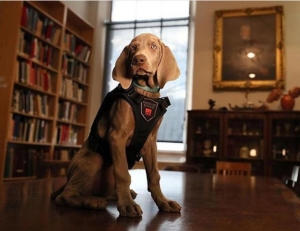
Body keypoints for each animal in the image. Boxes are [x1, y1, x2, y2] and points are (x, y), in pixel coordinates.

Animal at [50, 33, 180, 217]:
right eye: (133, 47)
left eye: (153, 46)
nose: (138, 59)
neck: (144, 94)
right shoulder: (117, 136)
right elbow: (123, 174)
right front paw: (127, 204)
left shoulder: (150, 142)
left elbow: (154, 175)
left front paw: (163, 202)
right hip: (93, 159)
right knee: (65, 196)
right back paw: (93, 202)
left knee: (104, 191)